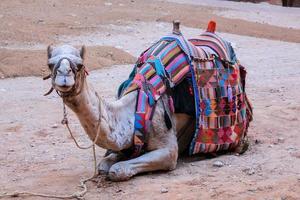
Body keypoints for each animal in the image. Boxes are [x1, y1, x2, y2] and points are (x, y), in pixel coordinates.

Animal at [46, 21, 251, 181]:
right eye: (50, 64)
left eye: (80, 65)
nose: (64, 76)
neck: (134, 108)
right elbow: (104, 165)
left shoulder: (168, 150)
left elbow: (117, 169)